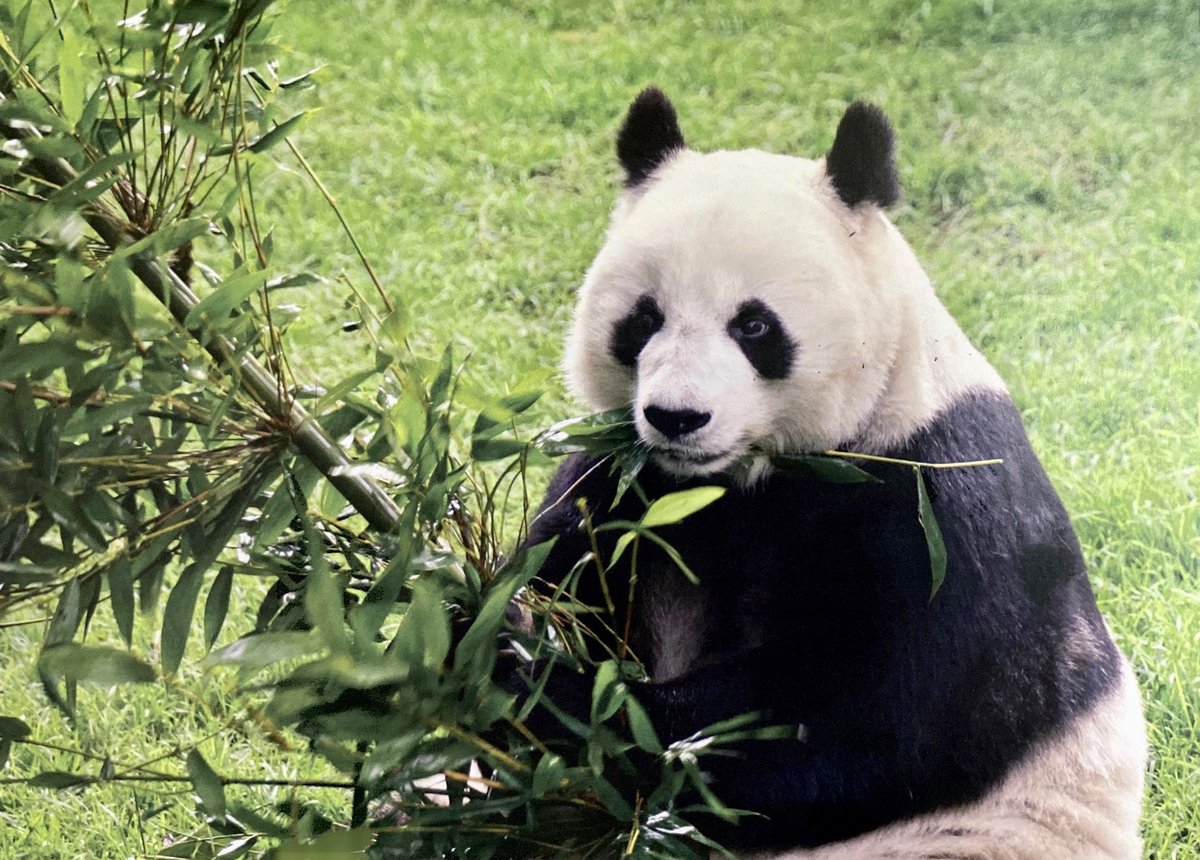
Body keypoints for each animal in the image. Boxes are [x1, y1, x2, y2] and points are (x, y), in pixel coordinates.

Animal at [520, 88, 1146, 858]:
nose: (677, 417)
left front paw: (550, 686)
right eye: (643, 319)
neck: (743, 477)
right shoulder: (629, 480)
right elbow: (563, 566)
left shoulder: (936, 504)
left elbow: (864, 727)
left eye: (753, 326)